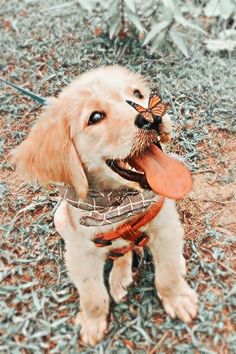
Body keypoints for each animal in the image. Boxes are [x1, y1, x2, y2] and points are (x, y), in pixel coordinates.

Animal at [12, 66, 198, 346]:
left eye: (137, 94)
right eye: (96, 117)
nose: (152, 118)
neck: (118, 204)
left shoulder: (166, 227)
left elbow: (168, 272)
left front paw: (177, 297)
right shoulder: (79, 255)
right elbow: (92, 294)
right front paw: (92, 323)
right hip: (60, 219)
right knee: (121, 253)